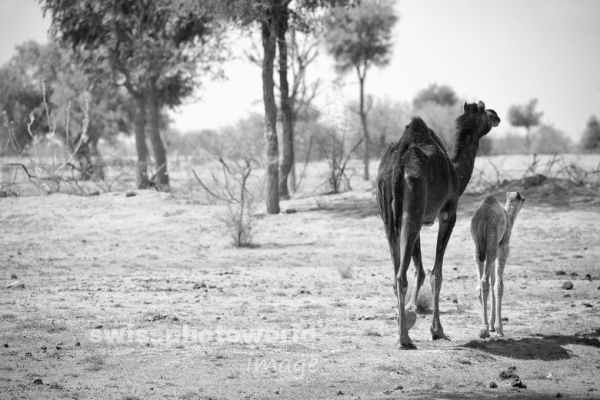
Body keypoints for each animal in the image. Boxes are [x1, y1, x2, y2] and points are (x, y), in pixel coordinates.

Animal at [378, 101, 500, 348]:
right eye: (483, 109)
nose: (497, 115)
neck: (456, 173)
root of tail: (398, 165)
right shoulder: (448, 214)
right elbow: (437, 274)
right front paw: (438, 331)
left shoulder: (420, 220)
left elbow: (421, 270)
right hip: (413, 212)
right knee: (401, 276)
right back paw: (405, 339)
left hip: (391, 219)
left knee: (396, 274)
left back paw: (401, 332)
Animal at [468, 191, 524, 338]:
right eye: (521, 198)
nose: (524, 199)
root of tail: (482, 219)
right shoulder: (503, 250)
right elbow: (499, 285)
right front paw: (499, 329)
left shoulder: (491, 255)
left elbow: (493, 283)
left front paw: (492, 326)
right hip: (492, 245)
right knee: (483, 282)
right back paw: (484, 329)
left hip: (477, 249)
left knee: (480, 284)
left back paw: (485, 327)